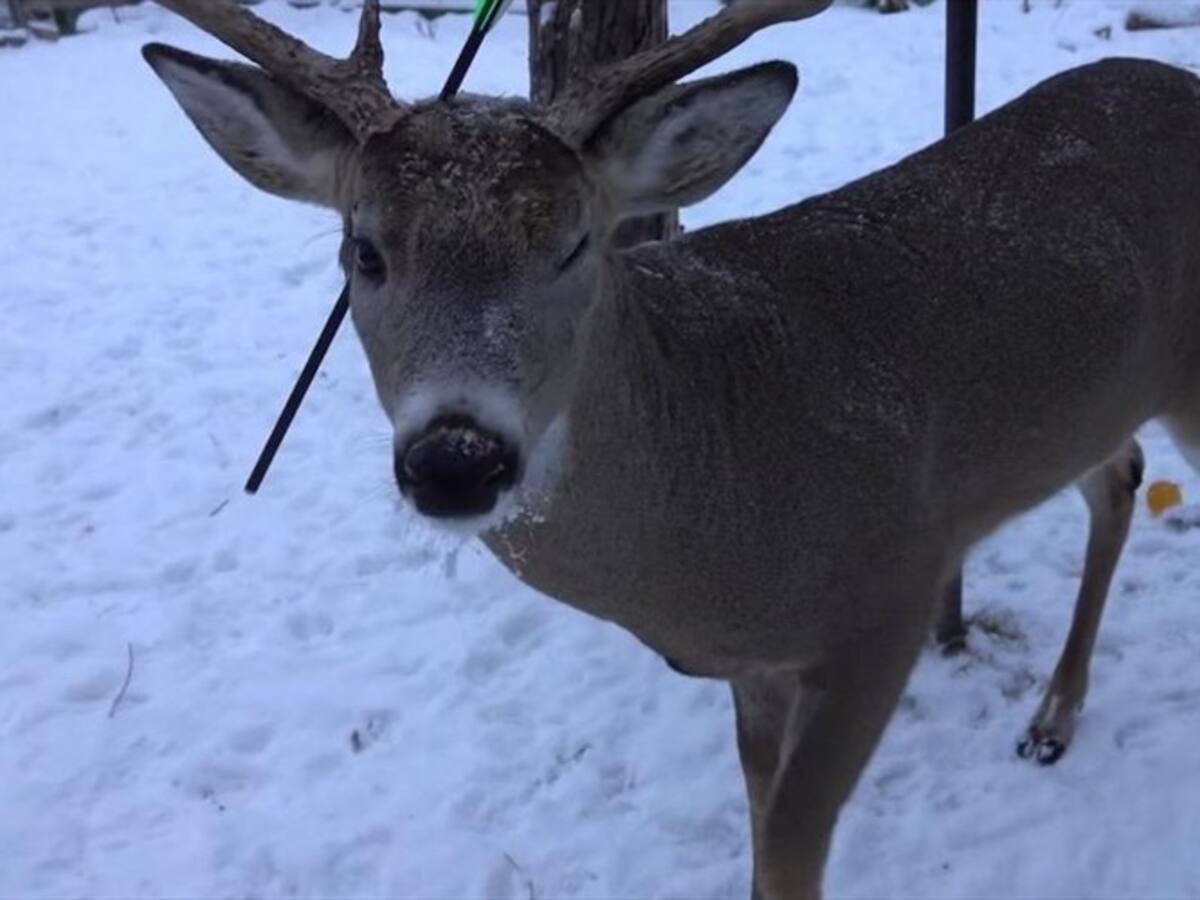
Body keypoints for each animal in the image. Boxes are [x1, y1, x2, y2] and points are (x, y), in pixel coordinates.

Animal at [139, 0, 1200, 895]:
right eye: (362, 251)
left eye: (574, 245)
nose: (456, 458)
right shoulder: (756, 665)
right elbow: (758, 817)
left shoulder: (893, 587)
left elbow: (791, 845)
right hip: (1092, 407)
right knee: (1118, 477)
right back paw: (1053, 719)